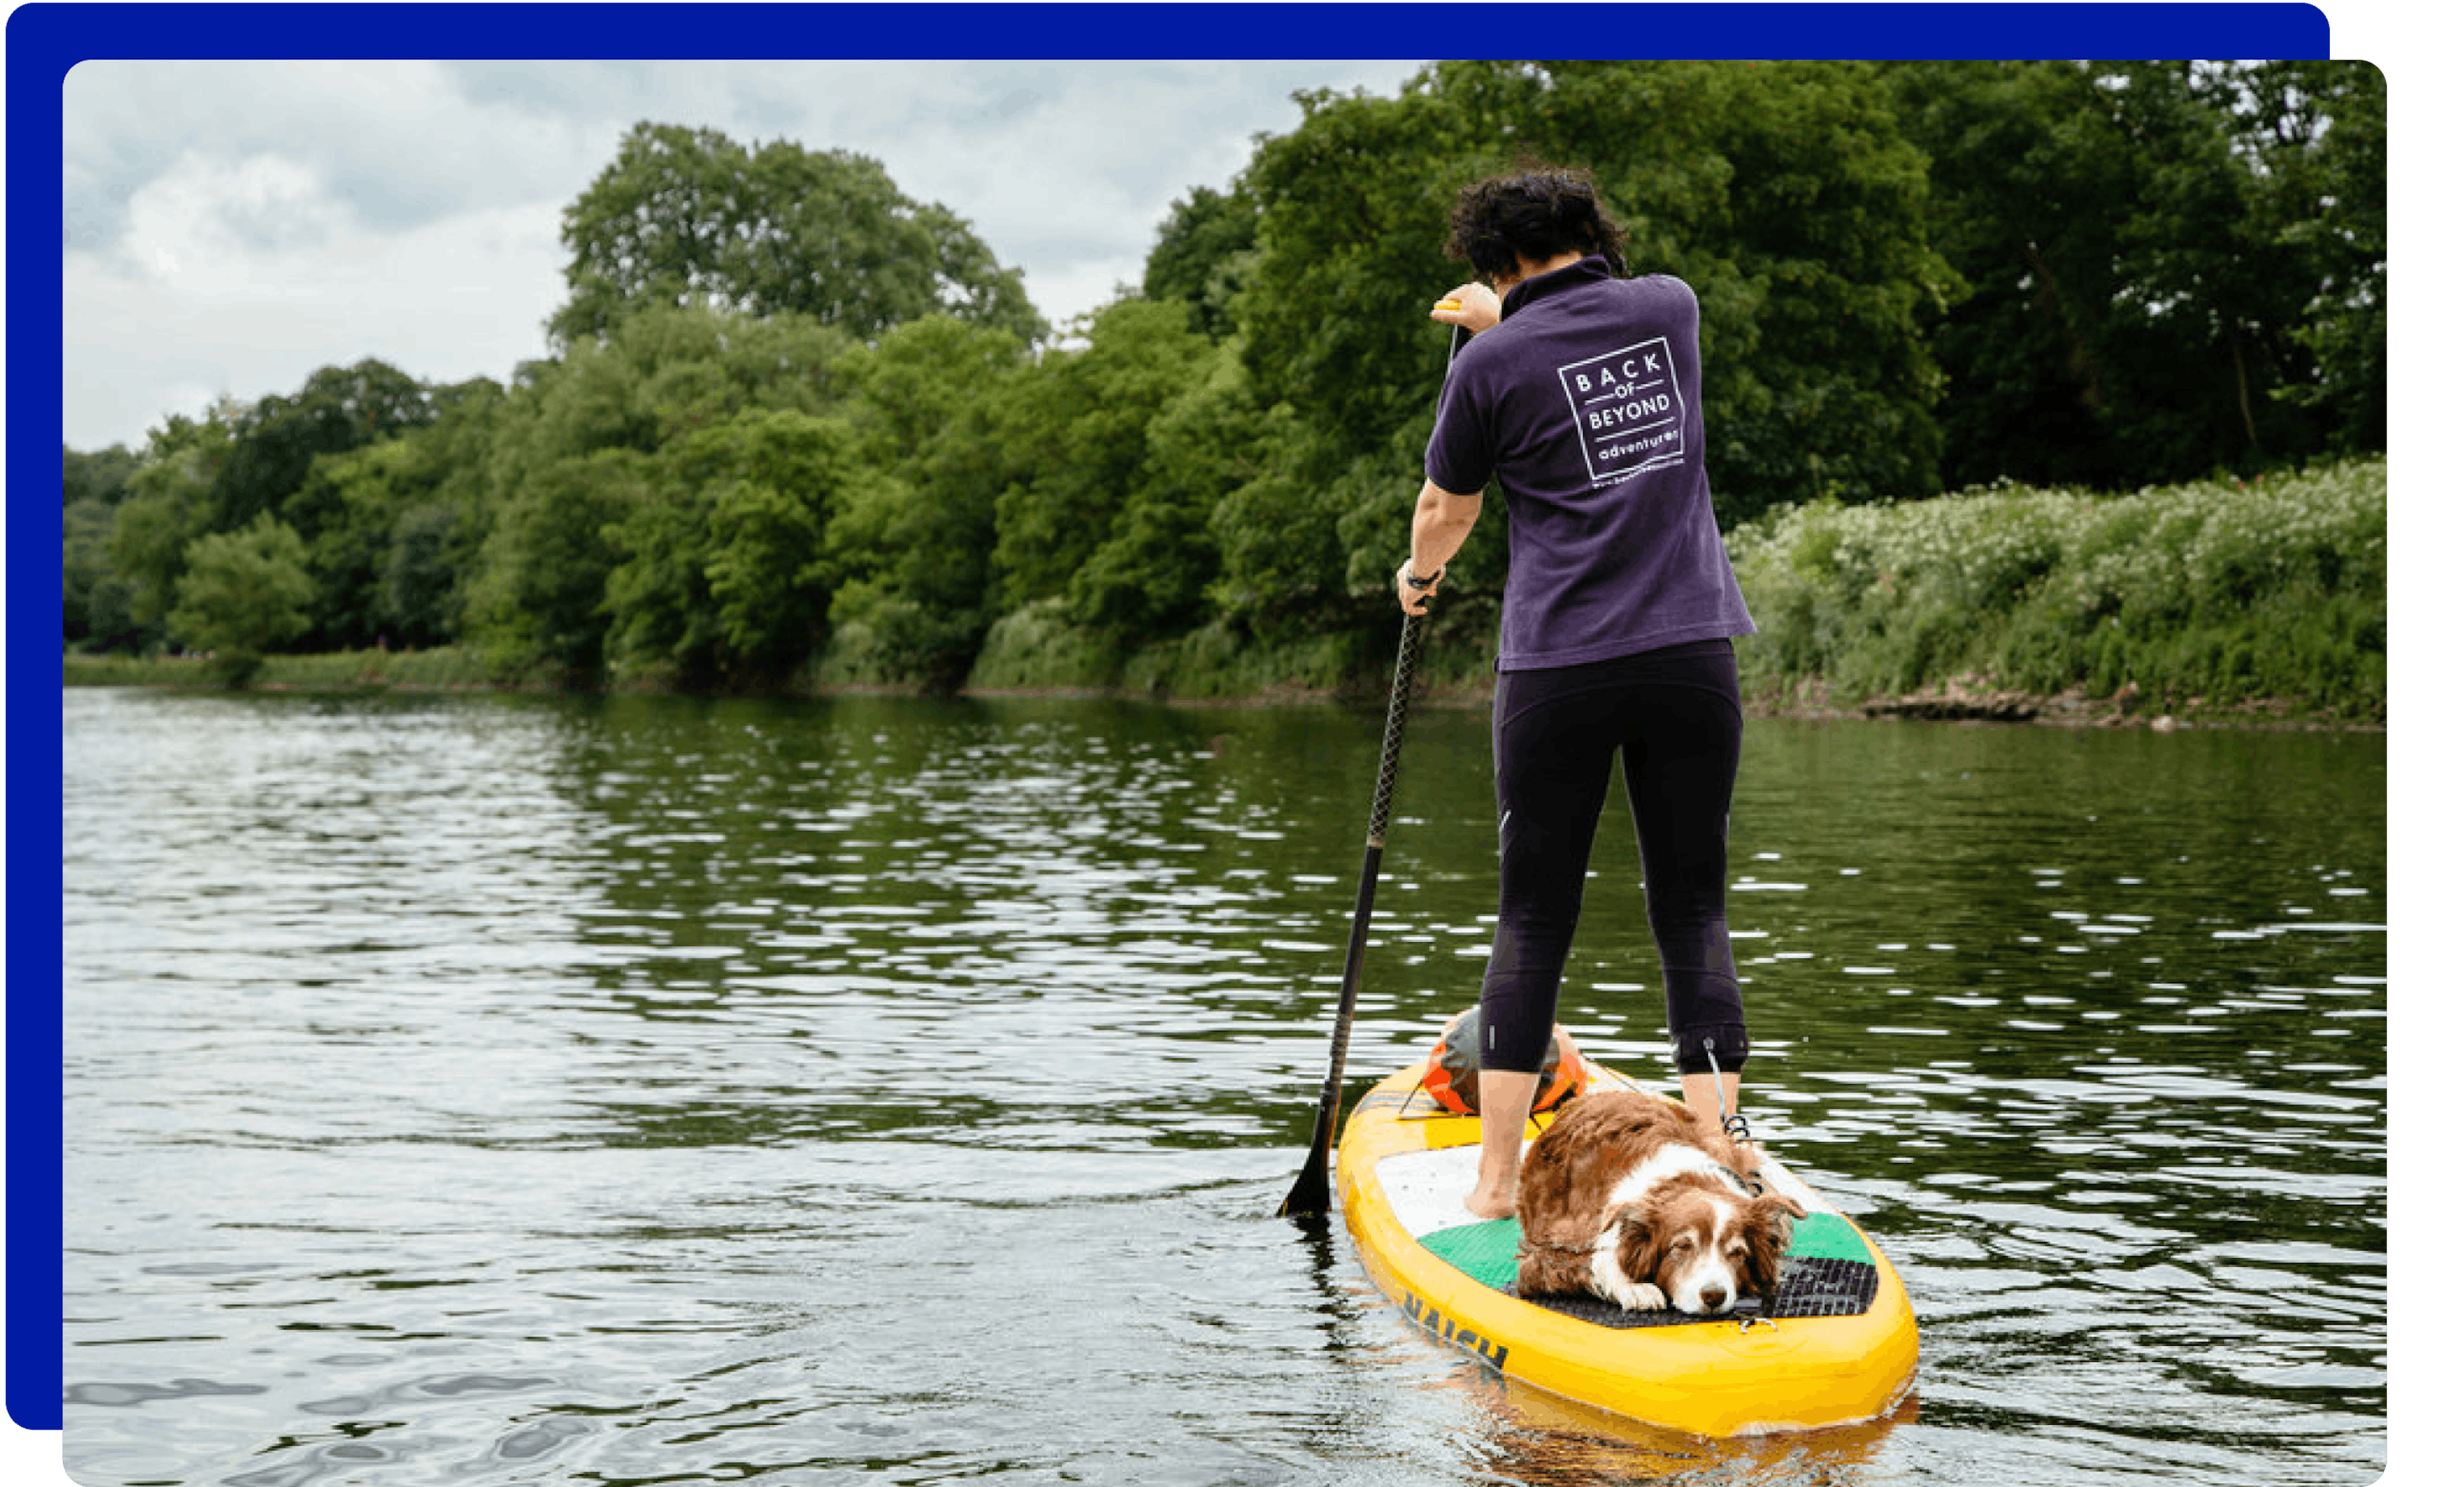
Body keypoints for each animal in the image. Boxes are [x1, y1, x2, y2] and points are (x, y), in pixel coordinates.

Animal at [1508, 1092, 1803, 1309]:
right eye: (1681, 1247)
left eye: (1738, 1253)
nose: (1714, 1296)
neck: (1682, 1179)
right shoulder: (1541, 1257)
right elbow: (1593, 1262)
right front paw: (1635, 1288)